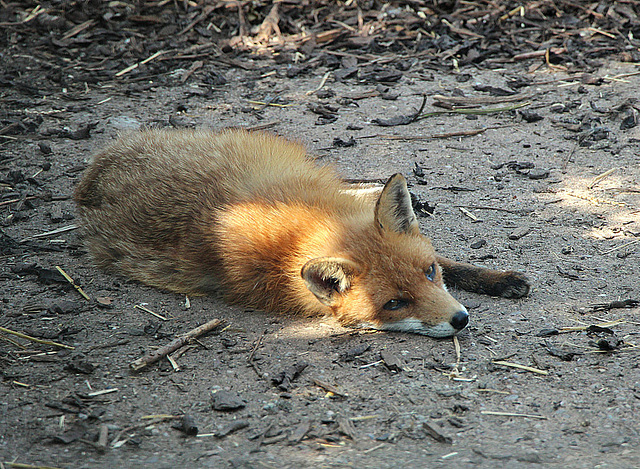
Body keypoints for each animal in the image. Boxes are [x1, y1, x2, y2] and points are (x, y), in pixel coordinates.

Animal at [74, 128, 528, 336]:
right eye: (395, 304)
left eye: (429, 273)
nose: (460, 319)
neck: (307, 223)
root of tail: (93, 174)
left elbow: (455, 262)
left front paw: (496, 278)